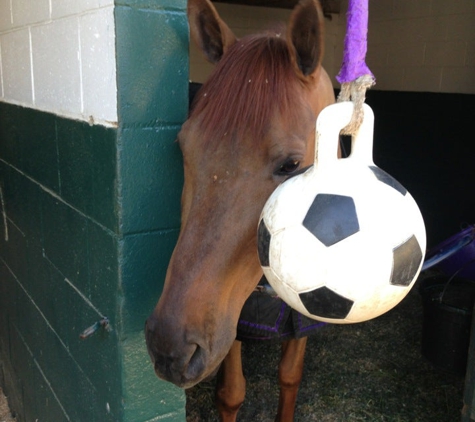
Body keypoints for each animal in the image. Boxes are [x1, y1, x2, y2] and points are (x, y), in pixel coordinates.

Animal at [147, 0, 336, 418]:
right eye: (183, 146)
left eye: (290, 164)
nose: (169, 348)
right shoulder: (231, 317)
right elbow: (231, 393)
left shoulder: (305, 316)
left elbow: (289, 377)